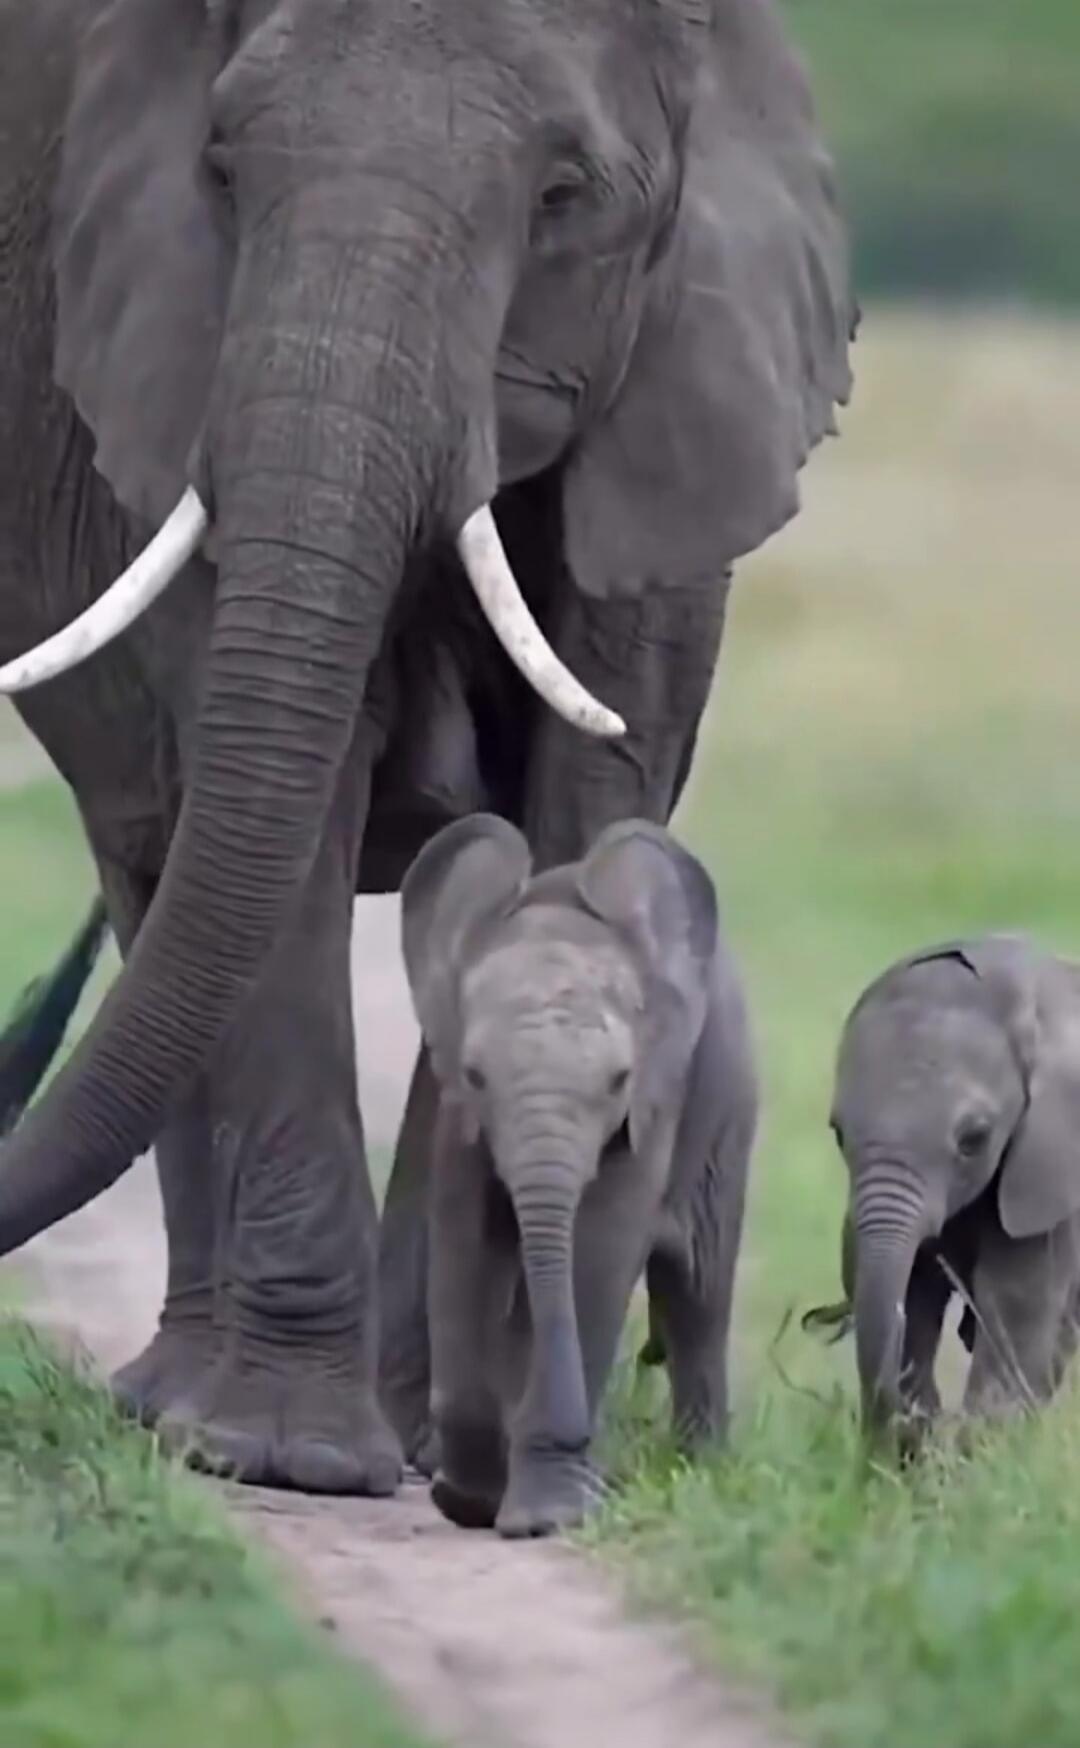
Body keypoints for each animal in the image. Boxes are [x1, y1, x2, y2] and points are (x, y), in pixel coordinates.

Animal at [399, 814, 756, 1537]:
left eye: (618, 1079)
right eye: (476, 1074)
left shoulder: (653, 1104)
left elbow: (598, 1247)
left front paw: (546, 1517)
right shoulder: (459, 1119)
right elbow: (463, 1241)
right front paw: (469, 1501)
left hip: (728, 1118)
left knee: (698, 1293)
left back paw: (697, 1471)